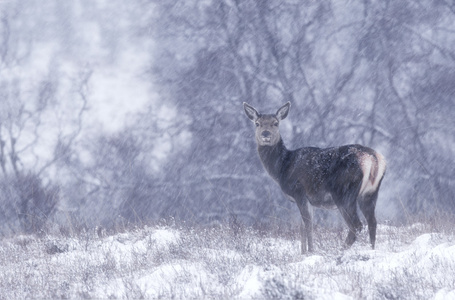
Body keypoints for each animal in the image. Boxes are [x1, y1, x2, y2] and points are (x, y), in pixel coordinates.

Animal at [244, 101, 386, 253]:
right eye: (257, 123)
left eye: (275, 123)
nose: (265, 133)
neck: (283, 168)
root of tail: (373, 158)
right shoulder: (308, 200)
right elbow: (303, 227)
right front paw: (303, 252)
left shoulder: (299, 192)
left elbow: (308, 226)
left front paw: (310, 252)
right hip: (370, 193)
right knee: (372, 222)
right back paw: (371, 250)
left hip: (344, 192)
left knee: (356, 225)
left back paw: (340, 252)